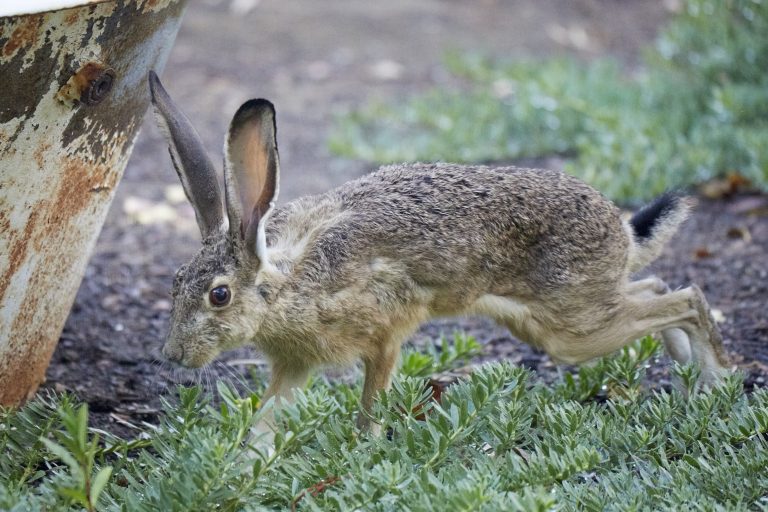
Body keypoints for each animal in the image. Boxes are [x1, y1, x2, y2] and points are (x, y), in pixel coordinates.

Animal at [148, 71, 730, 430]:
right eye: (175, 284)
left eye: (219, 295)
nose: (173, 355)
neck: (286, 282)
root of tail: (621, 231)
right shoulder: (294, 364)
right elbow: (263, 428)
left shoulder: (385, 333)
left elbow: (369, 406)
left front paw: (364, 447)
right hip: (563, 315)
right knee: (656, 288)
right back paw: (686, 373)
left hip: (574, 326)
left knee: (688, 298)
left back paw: (717, 382)